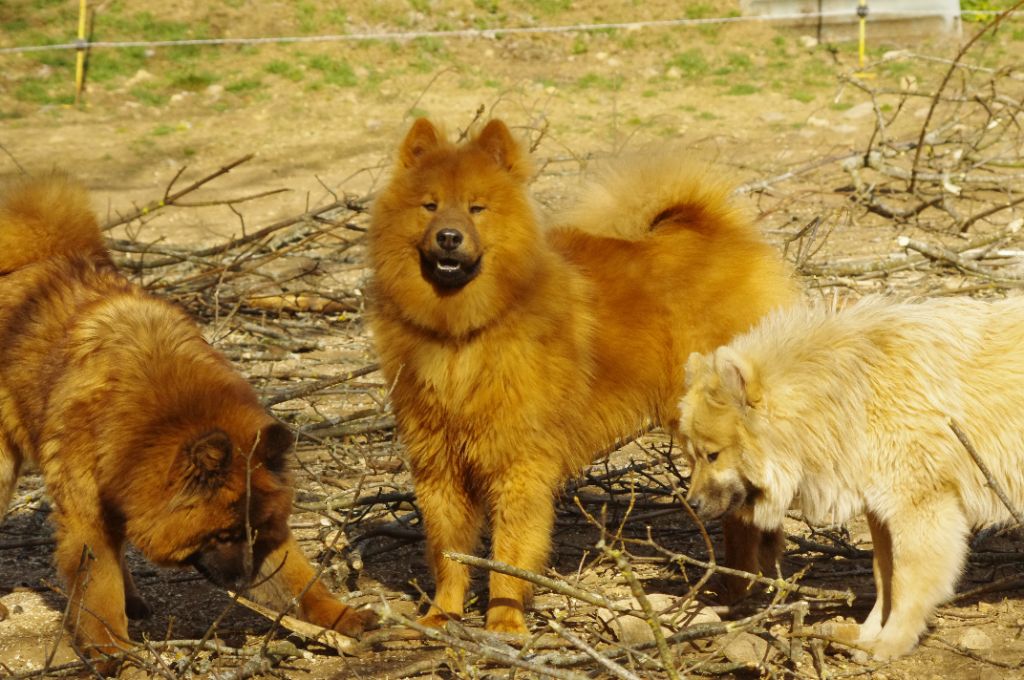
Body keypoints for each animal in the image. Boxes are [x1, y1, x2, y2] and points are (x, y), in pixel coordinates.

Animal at [0, 175, 376, 663]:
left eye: (253, 532)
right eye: (221, 535)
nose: (244, 580)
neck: (155, 423)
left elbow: (298, 580)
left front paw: (340, 617)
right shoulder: (88, 516)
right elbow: (98, 585)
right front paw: (110, 649)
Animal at [368, 116, 798, 630]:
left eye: (477, 208)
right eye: (429, 206)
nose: (449, 236)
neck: (462, 335)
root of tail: (719, 230)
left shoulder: (519, 466)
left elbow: (509, 553)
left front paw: (505, 623)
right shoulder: (439, 464)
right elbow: (448, 551)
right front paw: (441, 616)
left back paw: (739, 586)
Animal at [679, 296, 1024, 659]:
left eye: (712, 455)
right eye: (692, 455)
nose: (692, 504)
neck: (850, 394)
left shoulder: (919, 510)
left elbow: (906, 583)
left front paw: (891, 642)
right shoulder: (880, 513)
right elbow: (883, 577)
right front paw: (865, 634)